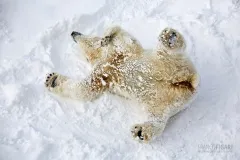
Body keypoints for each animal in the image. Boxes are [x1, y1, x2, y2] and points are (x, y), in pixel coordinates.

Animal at [44, 26, 199, 142]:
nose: (73, 33)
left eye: (82, 33)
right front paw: (52, 80)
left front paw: (106, 36)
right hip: (164, 101)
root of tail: (187, 82)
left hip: (166, 62)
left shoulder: (123, 52)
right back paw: (140, 131)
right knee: (157, 117)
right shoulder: (103, 75)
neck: (106, 59)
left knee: (171, 52)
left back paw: (169, 37)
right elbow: (86, 89)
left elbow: (124, 36)